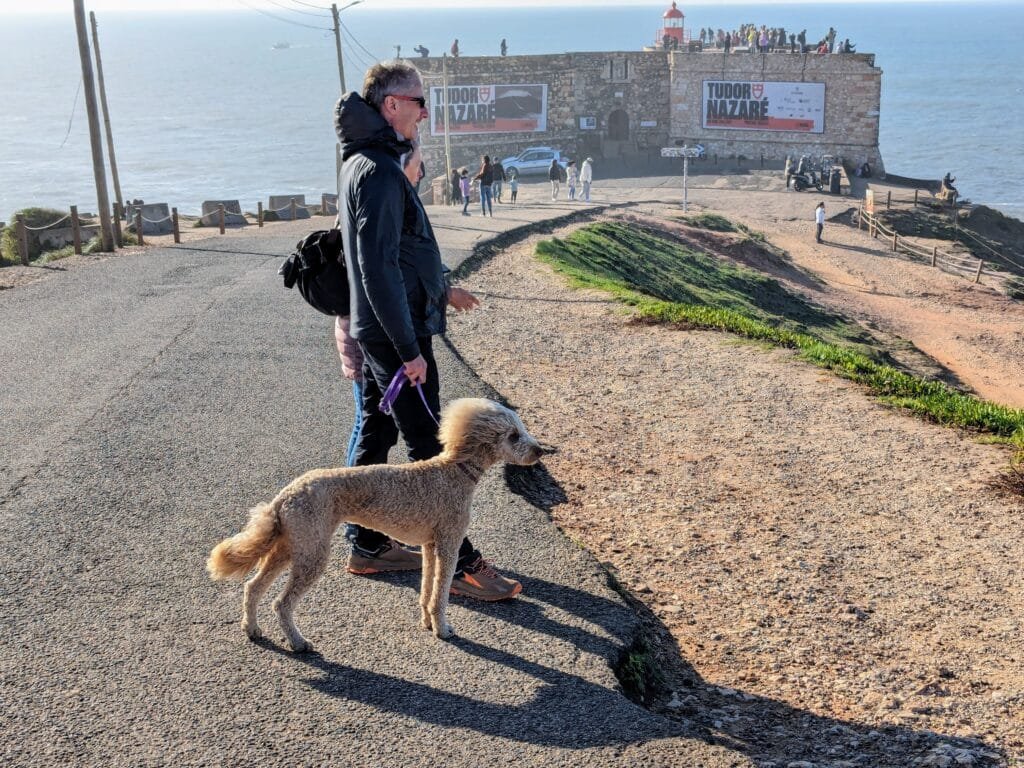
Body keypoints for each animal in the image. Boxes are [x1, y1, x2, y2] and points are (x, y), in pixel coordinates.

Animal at [206, 399, 544, 651]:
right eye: (513, 436)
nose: (541, 451)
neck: (455, 471)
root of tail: (283, 497)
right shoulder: (449, 542)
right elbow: (441, 593)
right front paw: (442, 629)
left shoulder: (430, 545)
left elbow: (427, 588)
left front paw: (427, 621)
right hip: (311, 552)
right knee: (281, 603)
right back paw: (298, 642)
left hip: (291, 545)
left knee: (252, 587)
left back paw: (252, 629)